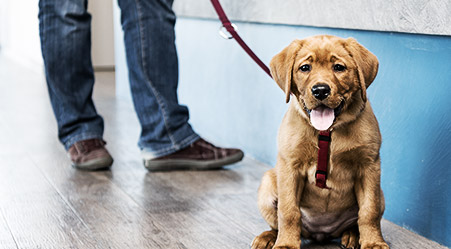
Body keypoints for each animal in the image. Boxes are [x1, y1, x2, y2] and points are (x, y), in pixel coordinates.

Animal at [252, 35, 390, 249]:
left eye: (339, 67)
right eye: (305, 68)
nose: (320, 91)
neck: (327, 132)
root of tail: (322, 233)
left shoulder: (369, 166)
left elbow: (369, 211)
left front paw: (373, 242)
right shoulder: (290, 166)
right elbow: (288, 211)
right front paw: (286, 244)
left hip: (381, 194)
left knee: (357, 219)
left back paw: (352, 235)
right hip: (267, 185)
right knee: (278, 221)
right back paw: (269, 236)